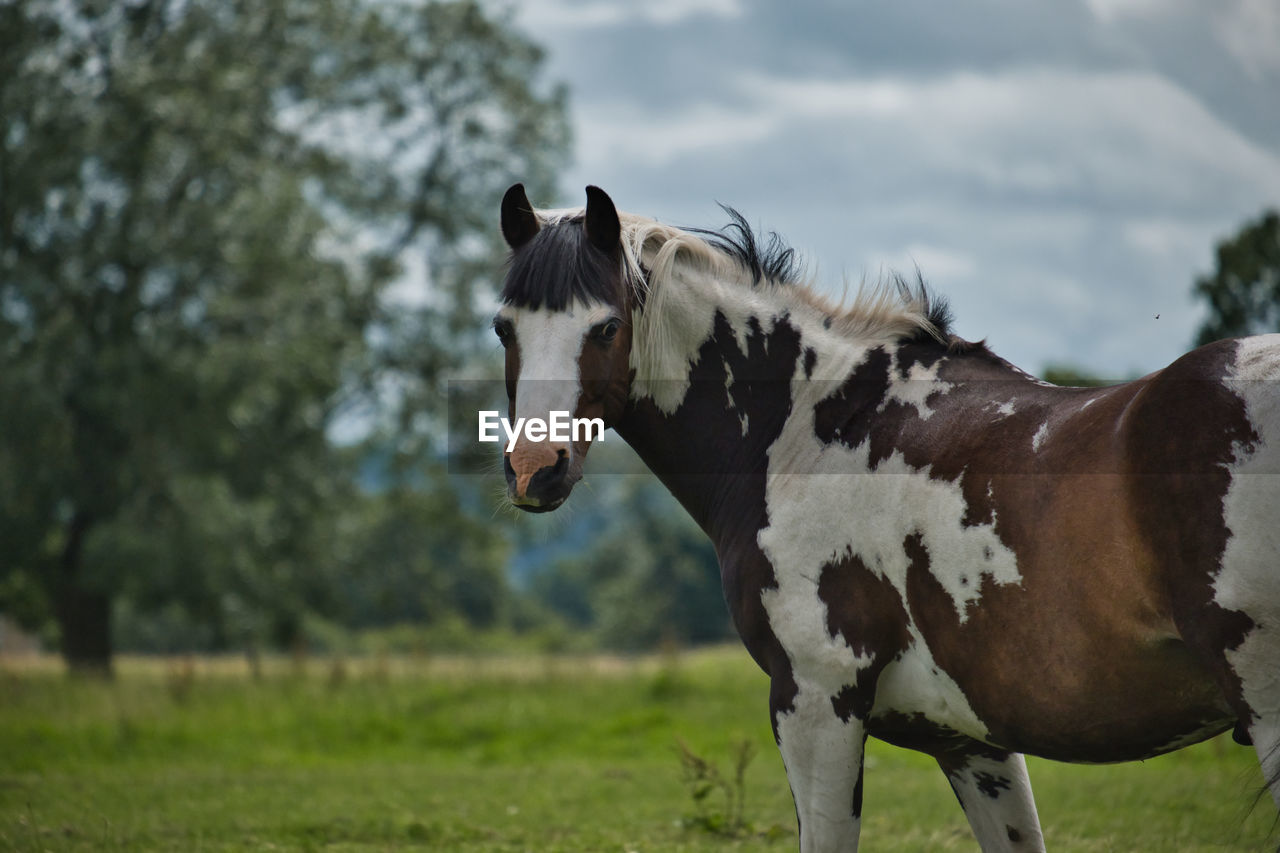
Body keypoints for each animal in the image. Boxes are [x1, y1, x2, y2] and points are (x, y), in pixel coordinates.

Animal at [488, 183, 1280, 845]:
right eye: (503, 328)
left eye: (605, 327)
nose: (535, 469)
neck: (807, 429)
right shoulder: (975, 743)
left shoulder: (816, 705)